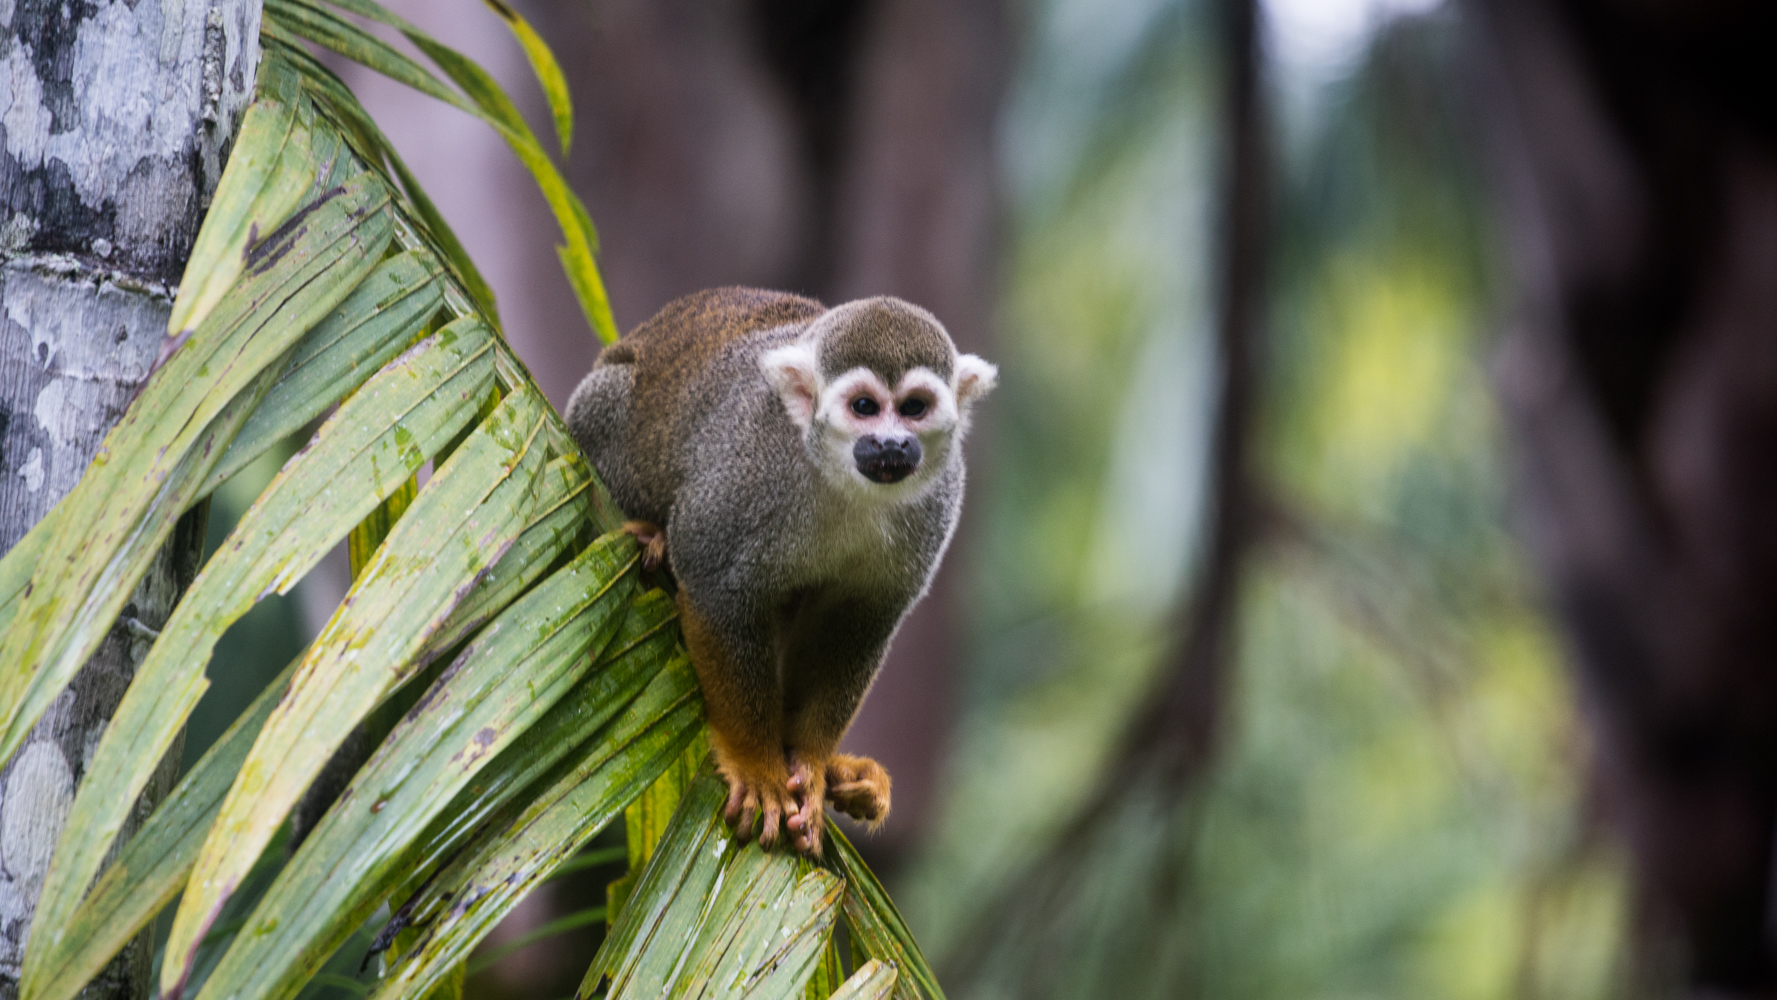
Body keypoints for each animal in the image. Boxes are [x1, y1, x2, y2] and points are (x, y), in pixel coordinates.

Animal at [565, 287, 996, 855]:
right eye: (864, 407)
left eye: (914, 408)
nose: (892, 444)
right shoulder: (750, 470)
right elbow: (716, 588)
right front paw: (757, 765)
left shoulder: (939, 501)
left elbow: (855, 624)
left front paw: (811, 764)